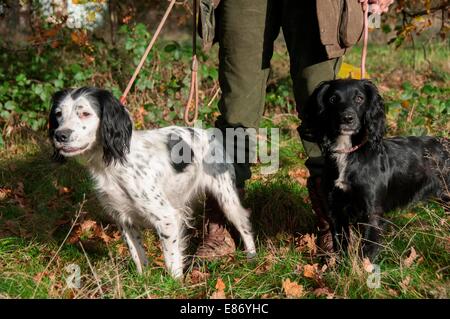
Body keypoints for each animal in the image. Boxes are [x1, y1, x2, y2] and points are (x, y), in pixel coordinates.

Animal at [48, 87, 256, 278]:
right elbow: (137, 255)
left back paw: (252, 258)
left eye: (85, 113)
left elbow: (171, 259)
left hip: (227, 198)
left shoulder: (166, 218)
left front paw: (175, 285)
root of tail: (208, 134)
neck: (114, 163)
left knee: (244, 223)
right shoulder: (123, 218)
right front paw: (143, 281)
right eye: (58, 114)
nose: (60, 135)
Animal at [304, 79, 448, 260]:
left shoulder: (372, 214)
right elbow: (341, 248)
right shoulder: (336, 212)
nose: (347, 118)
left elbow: (367, 253)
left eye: (359, 98)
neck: (347, 153)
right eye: (332, 99)